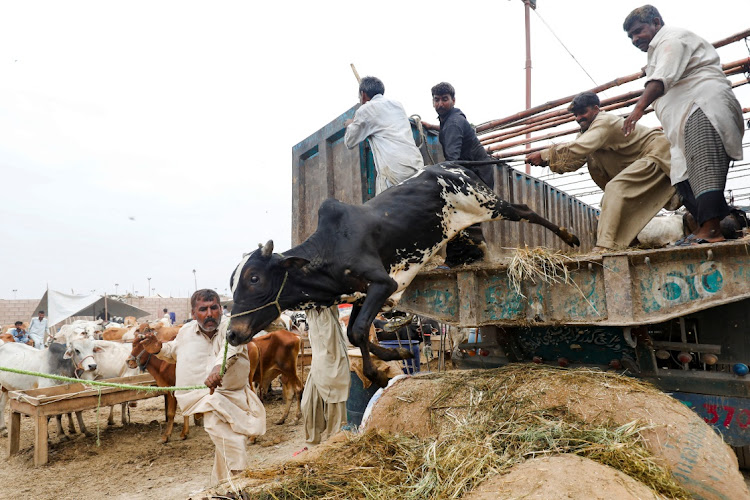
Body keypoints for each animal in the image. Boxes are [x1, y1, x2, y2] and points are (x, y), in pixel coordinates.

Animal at [226, 162, 580, 384]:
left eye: (254, 278)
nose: (231, 334)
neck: (328, 253)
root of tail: (455, 165)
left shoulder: (384, 282)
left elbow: (358, 332)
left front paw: (378, 371)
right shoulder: (364, 294)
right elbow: (357, 331)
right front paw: (392, 353)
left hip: (488, 203)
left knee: (525, 210)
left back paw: (570, 237)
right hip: (468, 222)